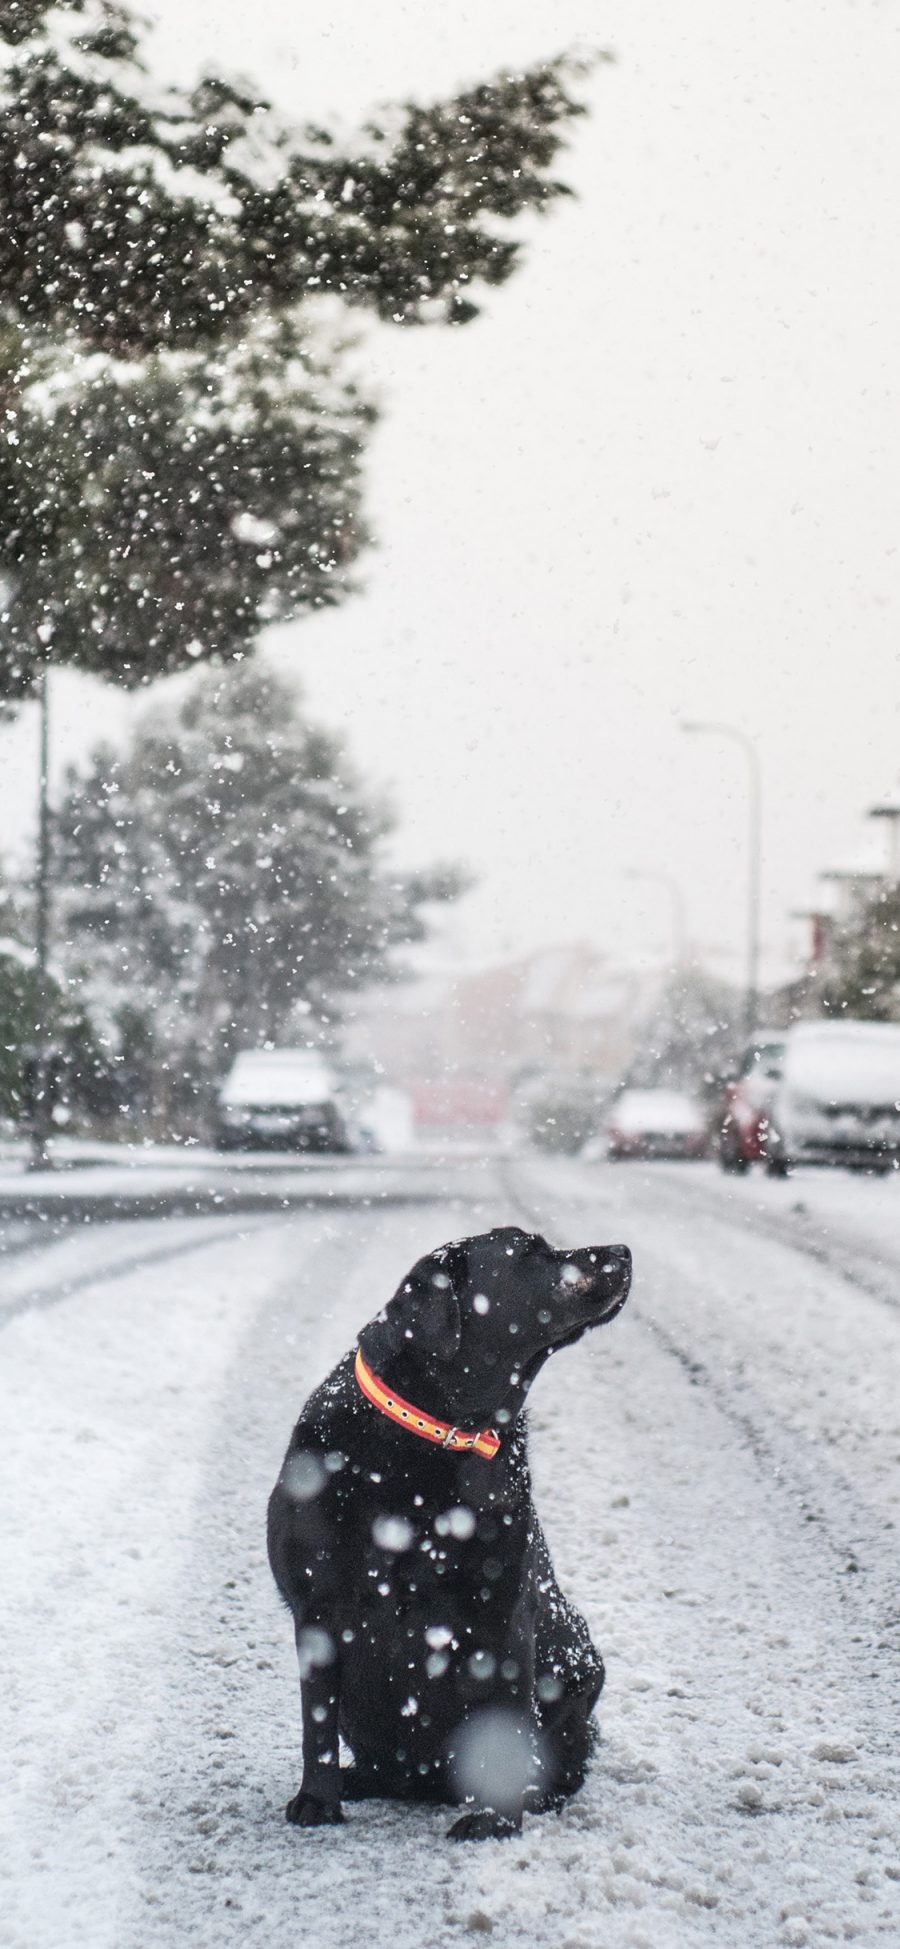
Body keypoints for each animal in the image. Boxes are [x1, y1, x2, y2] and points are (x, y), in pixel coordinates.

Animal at [270, 1223, 631, 1832]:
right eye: (531, 1252)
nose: (624, 1251)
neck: (439, 1435)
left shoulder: (502, 1612)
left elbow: (504, 1727)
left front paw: (493, 1821)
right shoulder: (317, 1609)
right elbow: (314, 1722)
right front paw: (317, 1801)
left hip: (579, 1667)